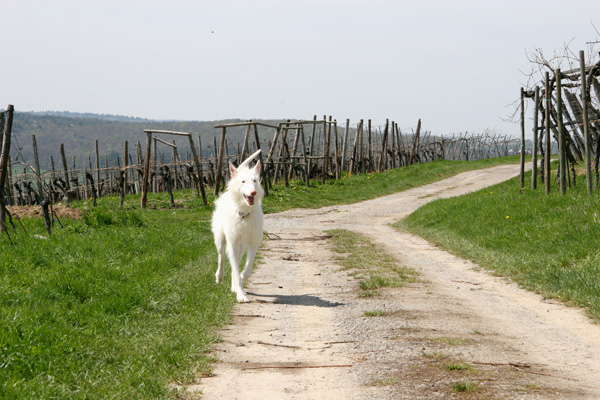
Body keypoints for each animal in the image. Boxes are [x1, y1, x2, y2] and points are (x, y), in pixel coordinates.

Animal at [213, 150, 264, 304]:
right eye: (243, 181)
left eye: (255, 181)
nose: (253, 192)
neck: (244, 215)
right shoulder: (232, 243)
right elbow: (234, 268)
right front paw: (241, 295)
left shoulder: (253, 243)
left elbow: (246, 271)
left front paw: (239, 283)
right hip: (221, 240)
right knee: (222, 257)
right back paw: (219, 276)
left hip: (241, 247)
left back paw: (235, 285)